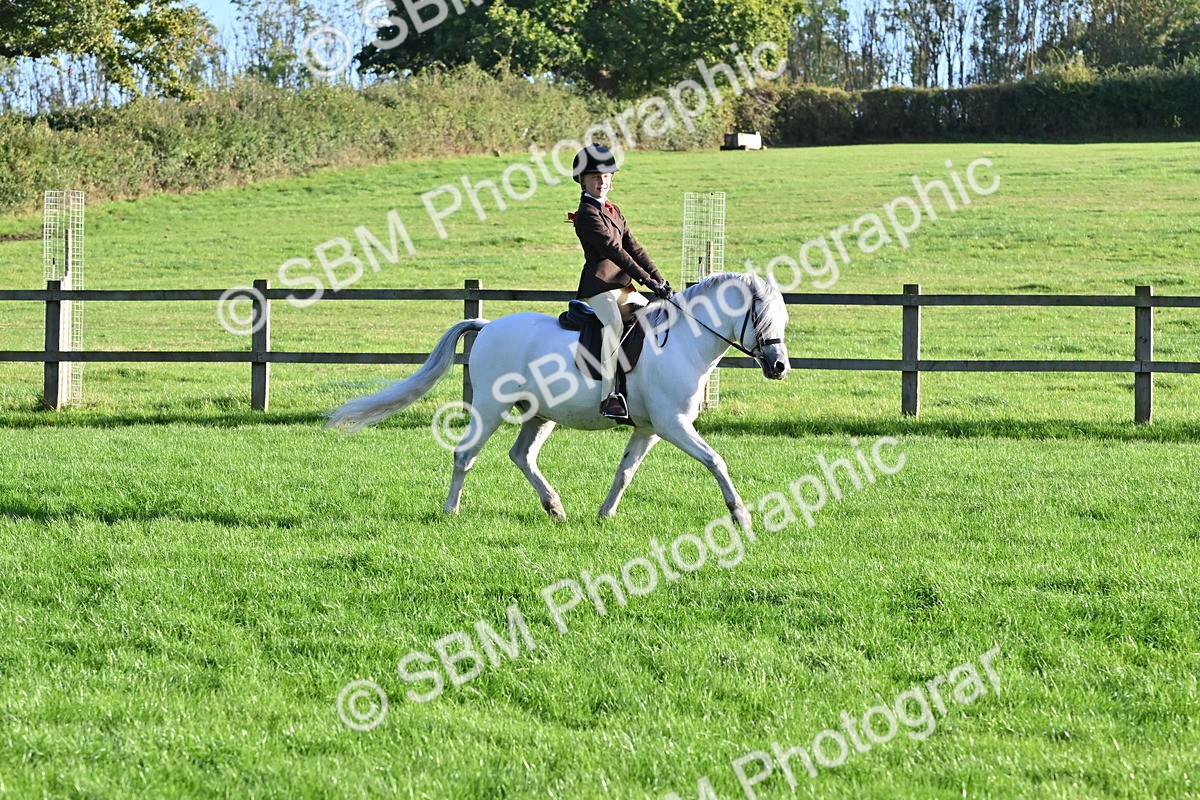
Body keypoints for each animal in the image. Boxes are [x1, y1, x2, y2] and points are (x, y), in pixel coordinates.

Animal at [326, 273, 790, 529]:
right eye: (760, 317)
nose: (779, 366)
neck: (682, 341)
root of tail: (487, 325)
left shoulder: (649, 429)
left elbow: (625, 472)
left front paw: (605, 514)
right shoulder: (673, 424)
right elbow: (716, 461)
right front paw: (741, 515)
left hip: (540, 414)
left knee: (522, 455)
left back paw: (554, 508)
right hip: (491, 410)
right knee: (465, 455)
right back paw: (451, 511)